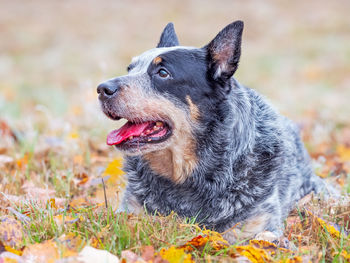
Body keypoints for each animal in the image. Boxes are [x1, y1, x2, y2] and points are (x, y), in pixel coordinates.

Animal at [97, 20, 332, 242]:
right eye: (130, 68)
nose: (102, 89)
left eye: (162, 73)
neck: (186, 176)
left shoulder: (259, 230)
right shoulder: (131, 211)